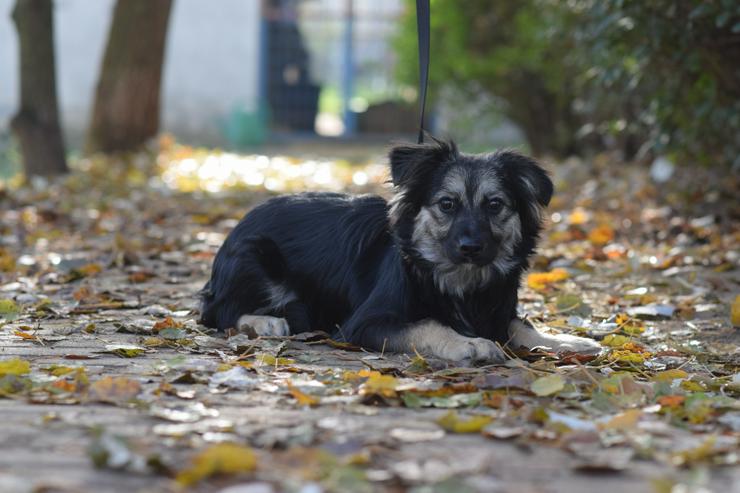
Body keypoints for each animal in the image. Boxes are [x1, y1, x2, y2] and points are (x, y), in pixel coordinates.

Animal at [198, 138, 600, 362]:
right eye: (447, 204)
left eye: (495, 205)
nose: (471, 247)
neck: (460, 283)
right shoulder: (364, 323)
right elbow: (428, 324)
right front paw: (468, 343)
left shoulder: (499, 312)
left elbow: (522, 325)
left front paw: (562, 339)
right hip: (254, 256)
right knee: (216, 311)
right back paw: (264, 321)